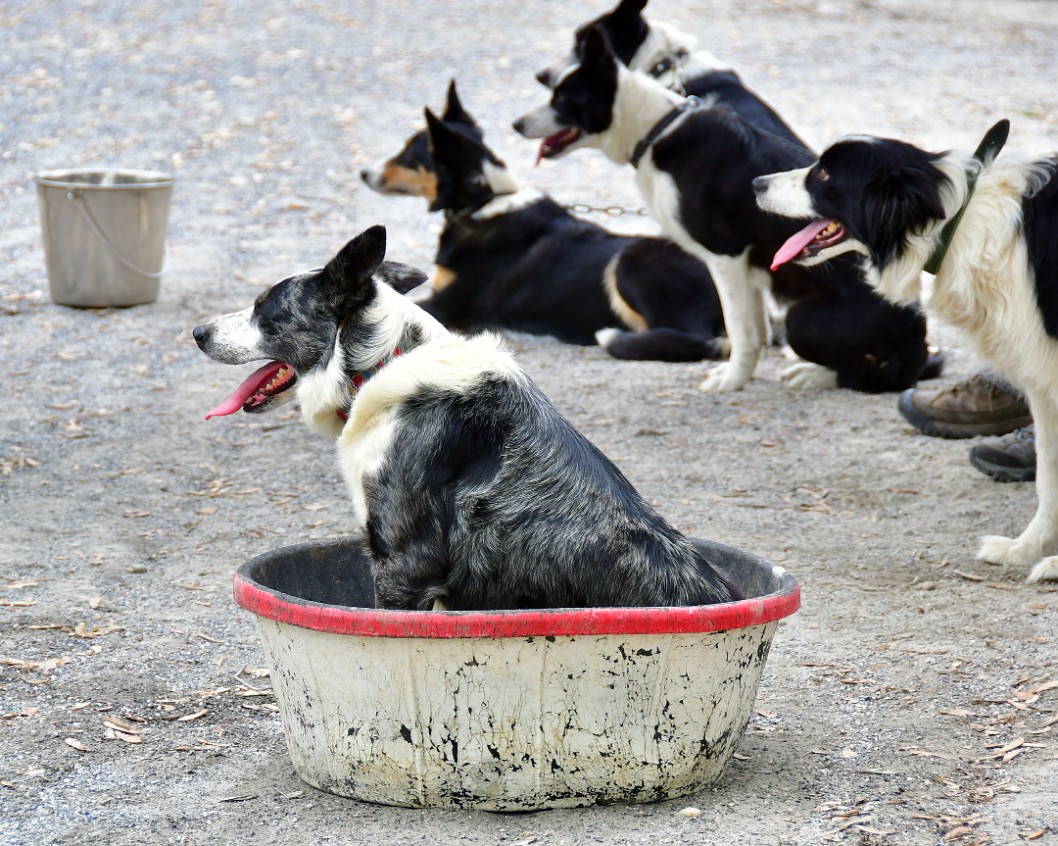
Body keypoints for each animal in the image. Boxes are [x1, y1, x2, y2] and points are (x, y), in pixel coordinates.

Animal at [359, 84, 723, 361]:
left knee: (693, 339)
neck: (484, 201)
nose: (363, 172)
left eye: (410, 155)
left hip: (630, 259)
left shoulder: (446, 305)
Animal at [516, 26, 939, 395]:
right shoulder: (748, 267)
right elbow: (753, 330)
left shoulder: (725, 256)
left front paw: (732, 381)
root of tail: (919, 346)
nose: (515, 124)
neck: (658, 130)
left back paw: (816, 374)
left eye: (562, 99)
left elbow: (739, 331)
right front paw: (744, 374)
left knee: (881, 376)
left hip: (801, 317)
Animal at [757, 120, 1058, 583]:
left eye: (824, 173)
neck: (957, 221)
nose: (756, 183)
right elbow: (1048, 477)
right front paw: (1025, 550)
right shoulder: (1042, 380)